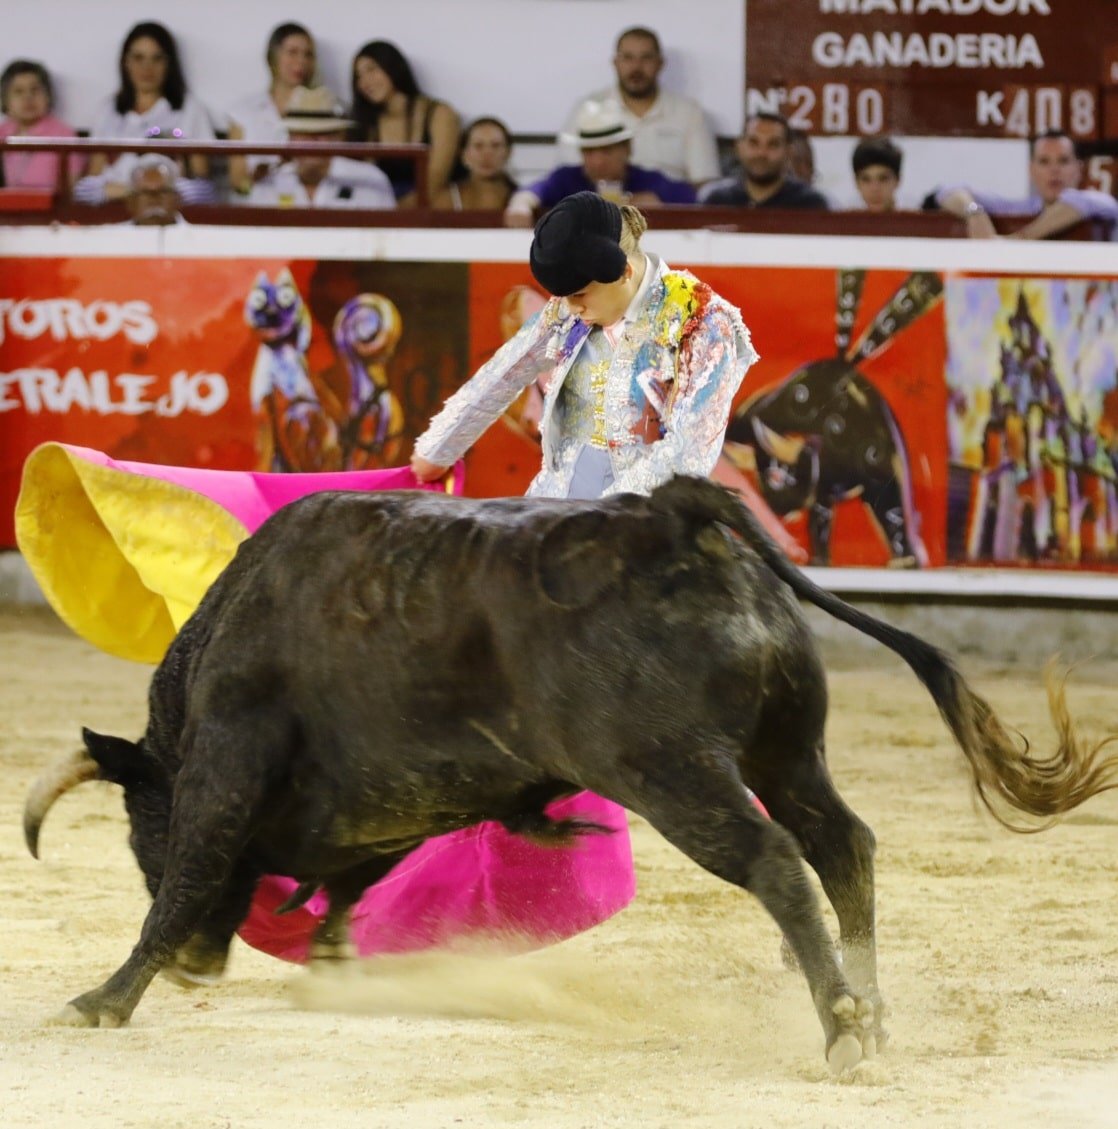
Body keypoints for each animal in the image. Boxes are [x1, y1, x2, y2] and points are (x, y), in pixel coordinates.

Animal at [24, 475, 1118, 1071]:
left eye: (138, 829)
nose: (205, 965)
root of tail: (673, 516)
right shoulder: (389, 806)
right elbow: (346, 888)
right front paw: (331, 970)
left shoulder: (227, 758)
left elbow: (190, 876)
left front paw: (102, 999)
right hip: (787, 749)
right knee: (842, 844)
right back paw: (870, 1009)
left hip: (670, 770)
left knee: (774, 861)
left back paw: (840, 1030)